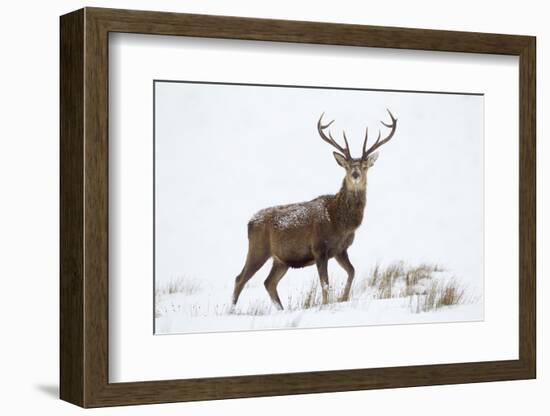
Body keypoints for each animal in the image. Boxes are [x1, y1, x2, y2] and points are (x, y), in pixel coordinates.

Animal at [231, 109, 398, 310]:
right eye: (347, 166)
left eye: (365, 166)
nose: (355, 174)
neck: (340, 222)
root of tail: (249, 222)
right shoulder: (319, 248)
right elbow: (325, 283)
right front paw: (326, 305)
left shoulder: (340, 249)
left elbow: (352, 271)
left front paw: (343, 299)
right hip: (258, 248)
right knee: (240, 278)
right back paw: (231, 310)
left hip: (281, 260)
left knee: (269, 282)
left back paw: (280, 310)